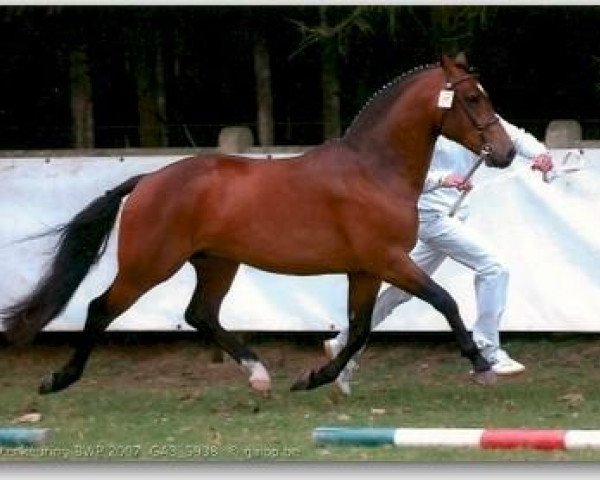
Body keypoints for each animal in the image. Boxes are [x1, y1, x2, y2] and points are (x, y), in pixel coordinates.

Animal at [0, 53, 516, 398]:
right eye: (472, 97)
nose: (507, 152)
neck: (374, 170)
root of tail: (147, 180)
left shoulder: (366, 270)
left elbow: (360, 328)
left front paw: (314, 378)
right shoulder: (388, 260)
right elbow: (444, 301)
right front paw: (480, 362)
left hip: (216, 264)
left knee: (200, 314)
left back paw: (259, 374)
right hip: (149, 266)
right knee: (99, 309)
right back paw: (58, 379)